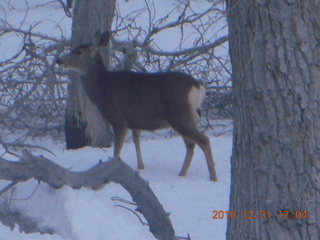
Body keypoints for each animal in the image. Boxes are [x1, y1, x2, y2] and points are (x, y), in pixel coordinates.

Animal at [56, 30, 219, 181]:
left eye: (78, 52)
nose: (59, 60)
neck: (102, 89)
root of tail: (198, 86)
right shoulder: (135, 121)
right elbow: (136, 141)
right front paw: (141, 167)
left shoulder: (118, 119)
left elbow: (117, 149)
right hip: (185, 118)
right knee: (191, 144)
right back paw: (182, 174)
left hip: (180, 115)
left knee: (203, 140)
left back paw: (213, 177)